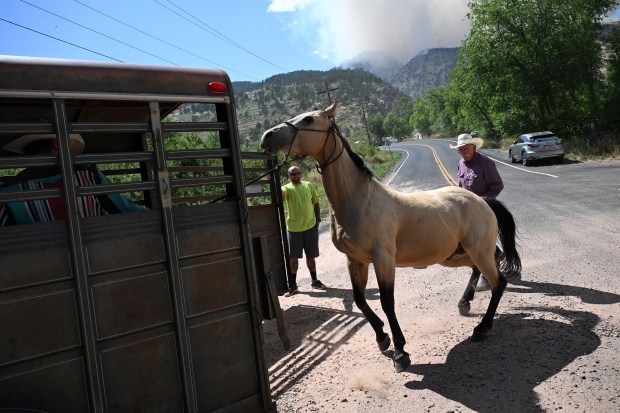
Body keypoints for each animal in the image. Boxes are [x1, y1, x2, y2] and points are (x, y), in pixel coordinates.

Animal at [260, 102, 520, 370]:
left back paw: (482, 328)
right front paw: (382, 337)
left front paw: (400, 351)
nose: (267, 137)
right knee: (479, 272)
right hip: (456, 255)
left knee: (498, 282)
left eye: (309, 120)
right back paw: (464, 303)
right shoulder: (356, 260)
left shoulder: (383, 259)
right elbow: (360, 299)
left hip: (478, 251)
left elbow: (387, 301)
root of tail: (483, 201)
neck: (359, 200)